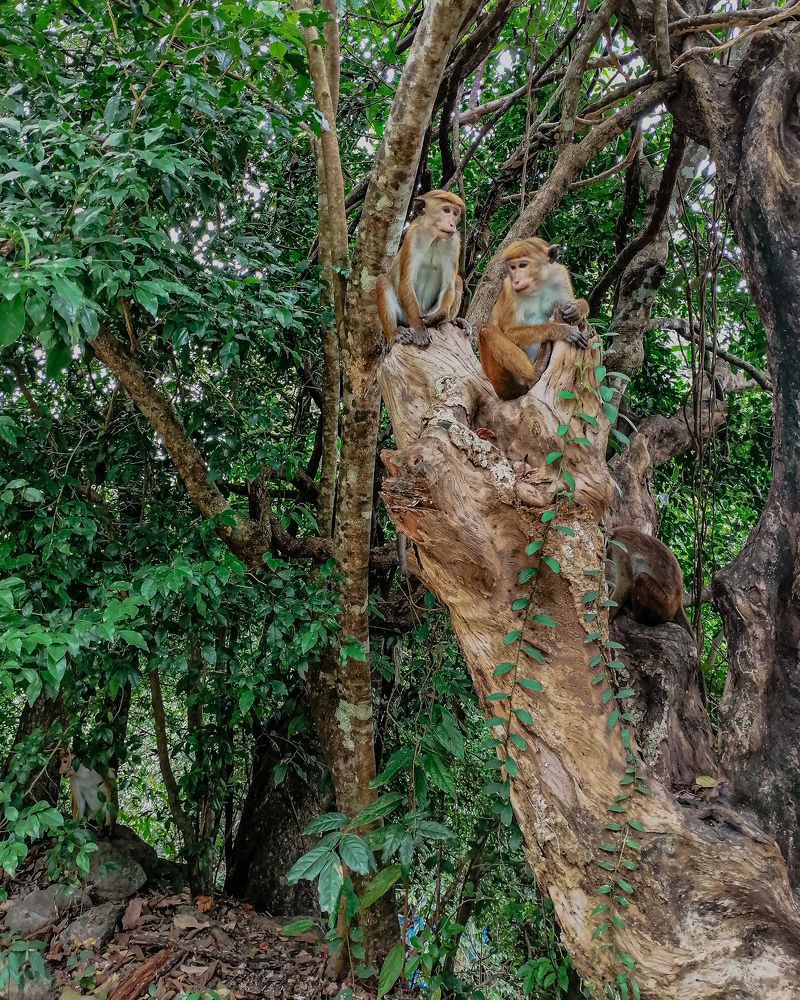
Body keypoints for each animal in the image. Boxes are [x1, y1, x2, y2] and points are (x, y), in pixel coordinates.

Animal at [376, 189, 468, 348]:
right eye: (446, 210)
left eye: (455, 213)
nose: (452, 224)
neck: (434, 237)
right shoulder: (412, 237)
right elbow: (406, 283)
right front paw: (419, 329)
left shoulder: (454, 243)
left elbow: (449, 284)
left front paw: (438, 317)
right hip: (404, 315)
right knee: (382, 281)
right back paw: (396, 333)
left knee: (458, 280)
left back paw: (452, 321)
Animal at [477, 239, 590, 401]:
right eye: (513, 267)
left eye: (523, 265)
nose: (516, 280)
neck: (538, 285)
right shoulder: (508, 288)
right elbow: (509, 331)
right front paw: (558, 330)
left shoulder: (559, 276)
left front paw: (579, 308)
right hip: (502, 385)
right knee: (487, 331)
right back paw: (534, 374)